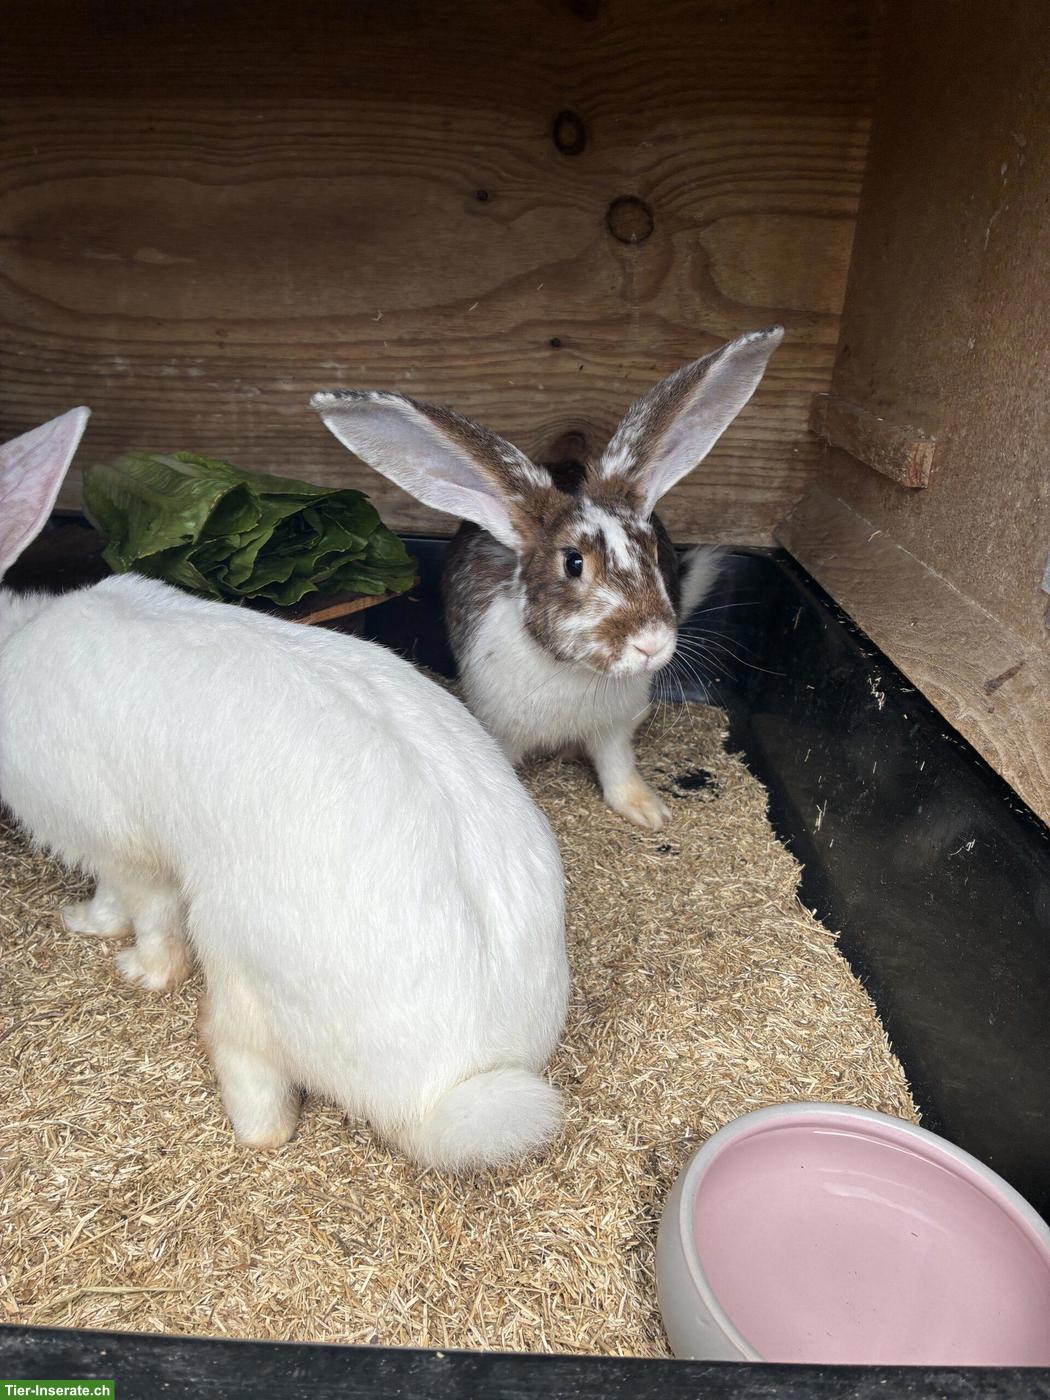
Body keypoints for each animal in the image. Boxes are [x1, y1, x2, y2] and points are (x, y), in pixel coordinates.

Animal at [0, 409, 569, 1171]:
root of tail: (444, 1088)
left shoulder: (119, 845)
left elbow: (142, 912)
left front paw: (124, 959)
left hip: (239, 963)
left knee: (257, 1084)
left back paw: (246, 1124)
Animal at [311, 325, 783, 831]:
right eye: (573, 563)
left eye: (655, 551)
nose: (652, 644)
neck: (574, 671)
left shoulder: (613, 729)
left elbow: (618, 767)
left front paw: (648, 812)